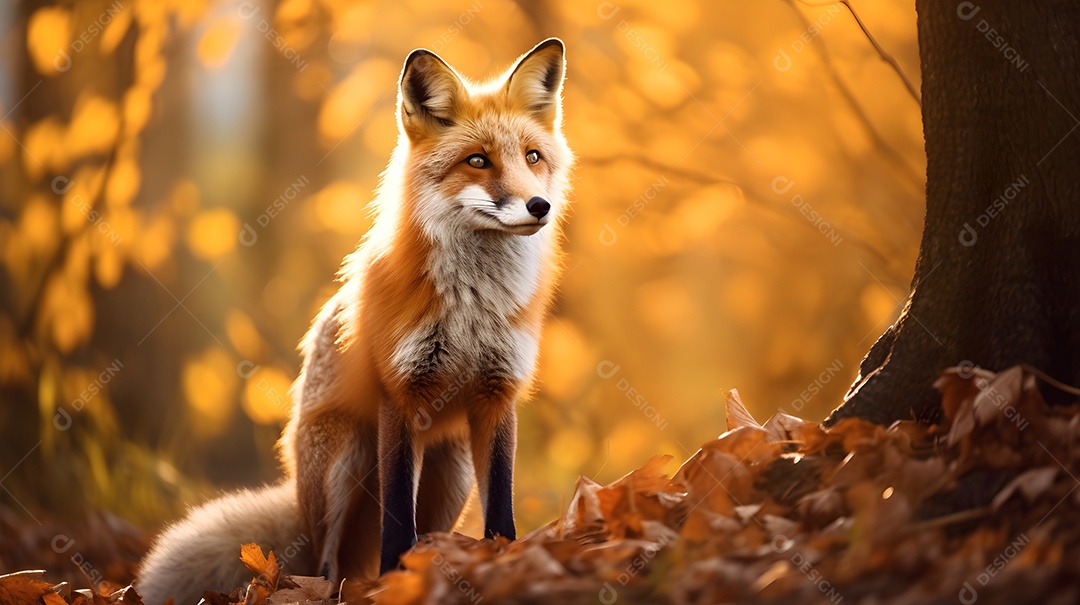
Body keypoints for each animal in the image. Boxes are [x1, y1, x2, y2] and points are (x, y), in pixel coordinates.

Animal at [135, 38, 572, 604]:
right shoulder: (400, 395)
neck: (472, 307)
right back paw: (335, 588)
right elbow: (397, 519)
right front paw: (395, 580)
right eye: (478, 161)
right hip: (344, 463)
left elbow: (501, 506)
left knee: (413, 536)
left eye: (533, 157)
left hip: (451, 476)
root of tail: (298, 496)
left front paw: (507, 563)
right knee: (327, 560)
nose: (539, 205)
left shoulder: (498, 395)